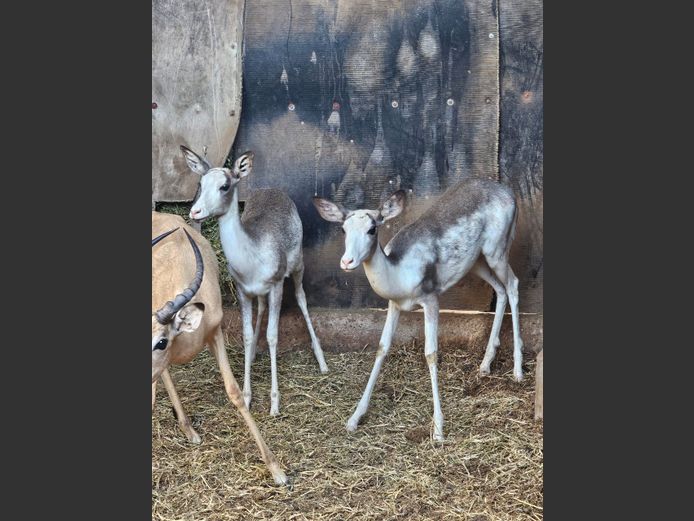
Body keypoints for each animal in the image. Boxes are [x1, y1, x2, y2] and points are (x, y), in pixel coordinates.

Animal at [182, 146, 329, 417]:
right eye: (200, 182)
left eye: (225, 185)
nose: (195, 211)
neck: (252, 257)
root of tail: (273, 189)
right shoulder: (243, 291)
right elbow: (248, 335)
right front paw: (248, 397)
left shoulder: (277, 285)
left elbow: (272, 336)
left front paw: (274, 404)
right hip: (260, 293)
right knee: (261, 309)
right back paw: (251, 356)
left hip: (298, 265)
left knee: (302, 298)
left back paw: (322, 362)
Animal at [313, 178, 524, 441]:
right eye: (343, 229)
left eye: (372, 229)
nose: (347, 261)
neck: (399, 272)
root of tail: (508, 192)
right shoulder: (393, 305)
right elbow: (382, 348)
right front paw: (354, 419)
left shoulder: (431, 299)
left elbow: (430, 353)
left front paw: (439, 430)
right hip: (478, 261)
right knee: (501, 290)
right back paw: (485, 366)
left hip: (497, 252)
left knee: (513, 285)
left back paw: (518, 371)